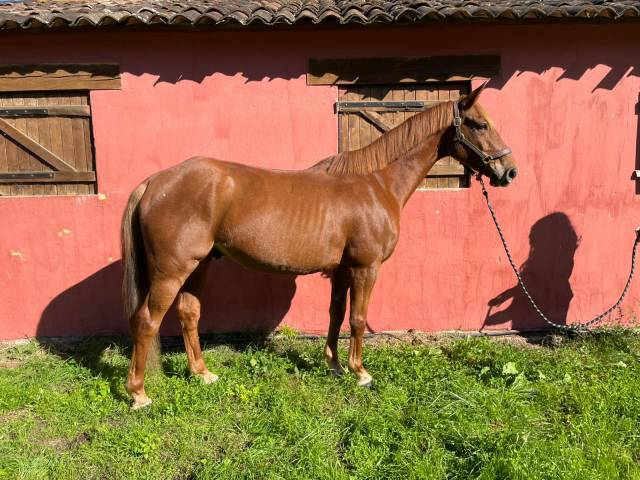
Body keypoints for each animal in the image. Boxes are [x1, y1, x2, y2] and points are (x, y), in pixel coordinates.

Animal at [121, 83, 517, 409]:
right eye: (479, 125)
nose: (509, 171)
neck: (376, 184)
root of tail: (154, 182)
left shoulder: (341, 270)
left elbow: (336, 315)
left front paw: (335, 365)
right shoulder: (365, 268)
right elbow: (358, 319)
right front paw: (360, 373)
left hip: (199, 264)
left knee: (189, 314)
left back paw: (202, 374)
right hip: (172, 270)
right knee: (146, 320)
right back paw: (139, 394)